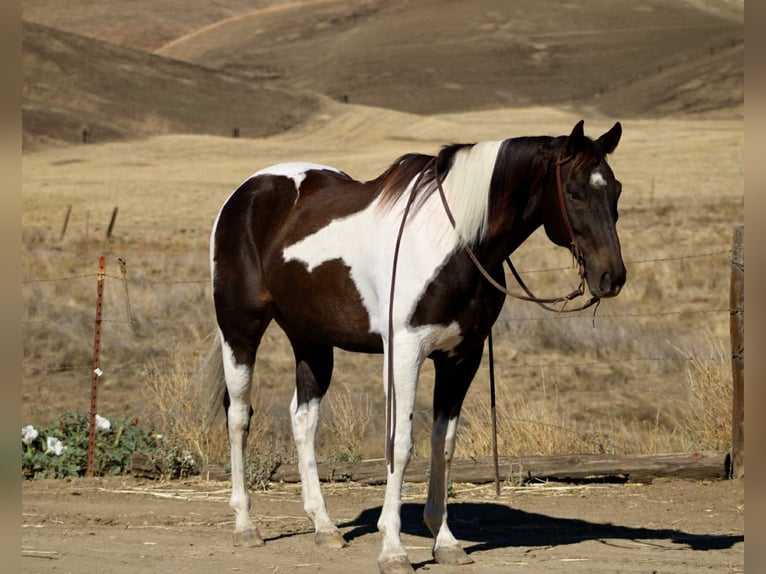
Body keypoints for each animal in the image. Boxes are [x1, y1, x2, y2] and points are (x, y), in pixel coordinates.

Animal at [209, 120, 625, 574]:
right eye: (573, 192)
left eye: (616, 190)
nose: (612, 277)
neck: (455, 242)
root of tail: (247, 192)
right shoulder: (405, 352)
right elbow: (401, 444)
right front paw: (393, 549)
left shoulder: (461, 357)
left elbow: (444, 444)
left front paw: (445, 541)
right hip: (240, 329)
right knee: (239, 416)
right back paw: (245, 525)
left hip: (312, 340)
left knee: (303, 420)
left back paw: (324, 527)